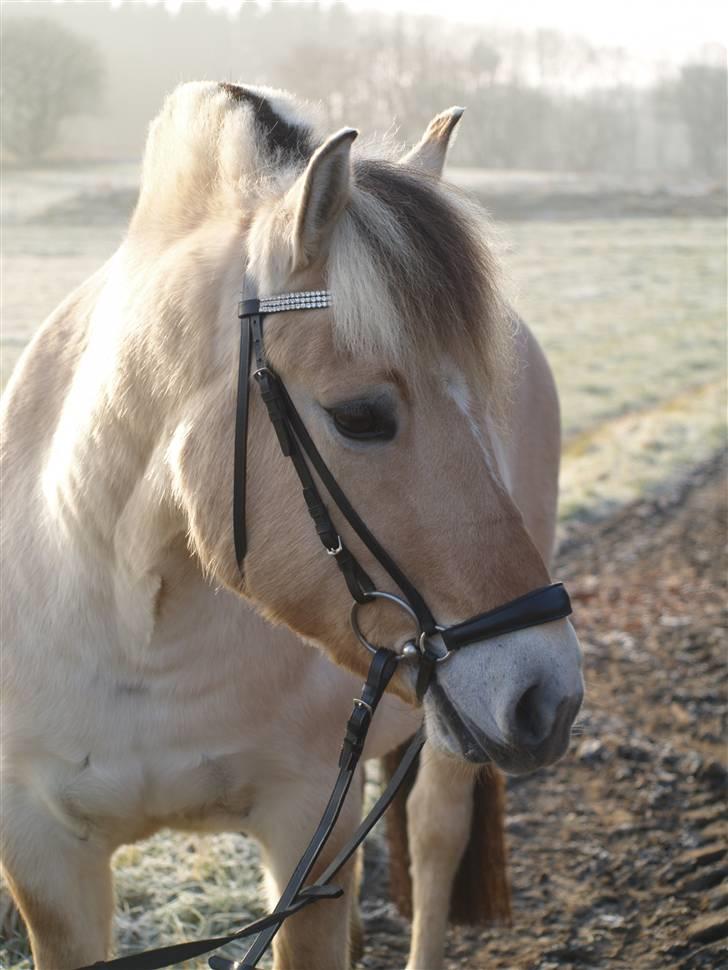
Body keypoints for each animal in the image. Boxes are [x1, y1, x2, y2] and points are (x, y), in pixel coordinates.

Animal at [0, 83, 580, 968]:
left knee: (436, 838)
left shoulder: (307, 826)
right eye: (361, 417)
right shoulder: (43, 857)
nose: (551, 694)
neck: (133, 628)